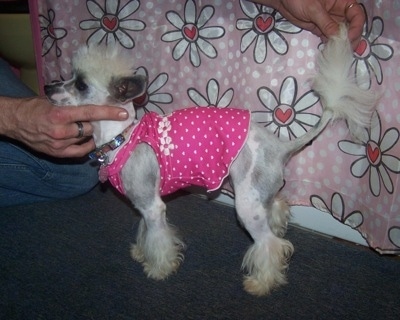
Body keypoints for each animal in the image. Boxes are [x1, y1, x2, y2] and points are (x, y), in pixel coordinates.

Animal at [45, 23, 376, 296]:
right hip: (259, 195)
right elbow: (146, 232)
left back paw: (261, 282)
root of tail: (280, 145)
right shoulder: (145, 207)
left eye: (81, 84)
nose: (47, 87)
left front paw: (159, 268)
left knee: (269, 245)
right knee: (277, 210)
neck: (123, 137)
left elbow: (159, 239)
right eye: (71, 76)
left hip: (246, 206)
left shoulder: (153, 207)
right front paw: (142, 252)